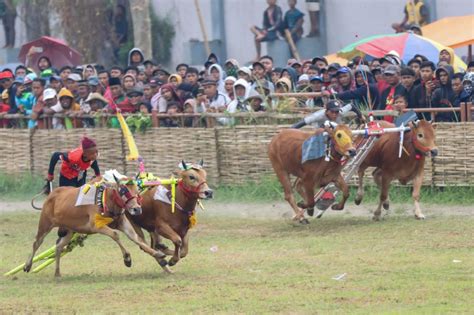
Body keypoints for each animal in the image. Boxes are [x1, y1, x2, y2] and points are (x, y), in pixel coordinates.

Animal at [25, 177, 168, 278]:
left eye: (137, 191)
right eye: (123, 190)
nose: (137, 209)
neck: (105, 199)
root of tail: (51, 195)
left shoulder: (122, 223)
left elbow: (136, 239)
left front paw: (158, 254)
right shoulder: (96, 227)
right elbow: (115, 235)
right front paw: (127, 258)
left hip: (70, 231)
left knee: (59, 246)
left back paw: (57, 273)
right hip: (45, 224)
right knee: (36, 242)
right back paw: (27, 265)